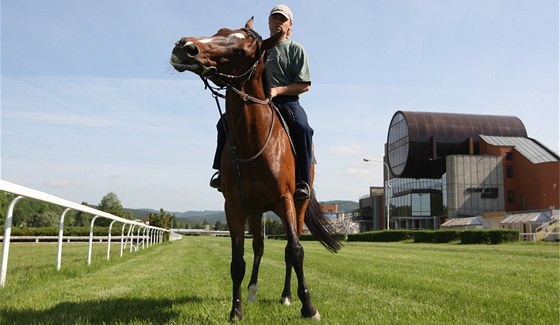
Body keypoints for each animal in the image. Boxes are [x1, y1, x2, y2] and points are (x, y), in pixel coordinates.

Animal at [170, 17, 342, 318]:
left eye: (242, 52)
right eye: (219, 32)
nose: (185, 46)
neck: (254, 141)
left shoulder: (285, 200)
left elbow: (295, 250)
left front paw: (309, 306)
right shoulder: (234, 206)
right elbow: (238, 261)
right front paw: (235, 311)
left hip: (298, 205)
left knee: (288, 249)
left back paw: (286, 295)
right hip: (256, 210)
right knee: (259, 247)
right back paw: (252, 292)